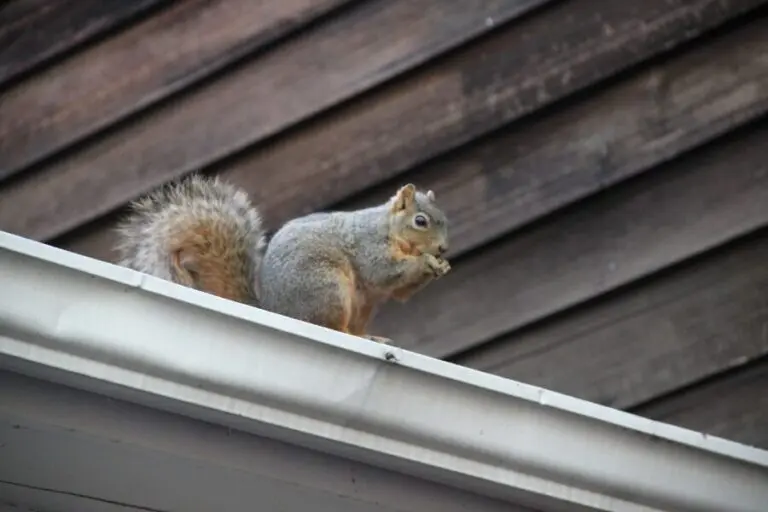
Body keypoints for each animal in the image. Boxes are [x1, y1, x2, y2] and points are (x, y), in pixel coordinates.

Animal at [115, 174, 450, 344]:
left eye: (444, 219)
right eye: (420, 221)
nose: (444, 249)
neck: (389, 229)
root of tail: (275, 310)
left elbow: (400, 291)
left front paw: (441, 267)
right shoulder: (369, 246)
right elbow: (385, 272)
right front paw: (426, 263)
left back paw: (370, 337)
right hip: (327, 288)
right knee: (328, 325)